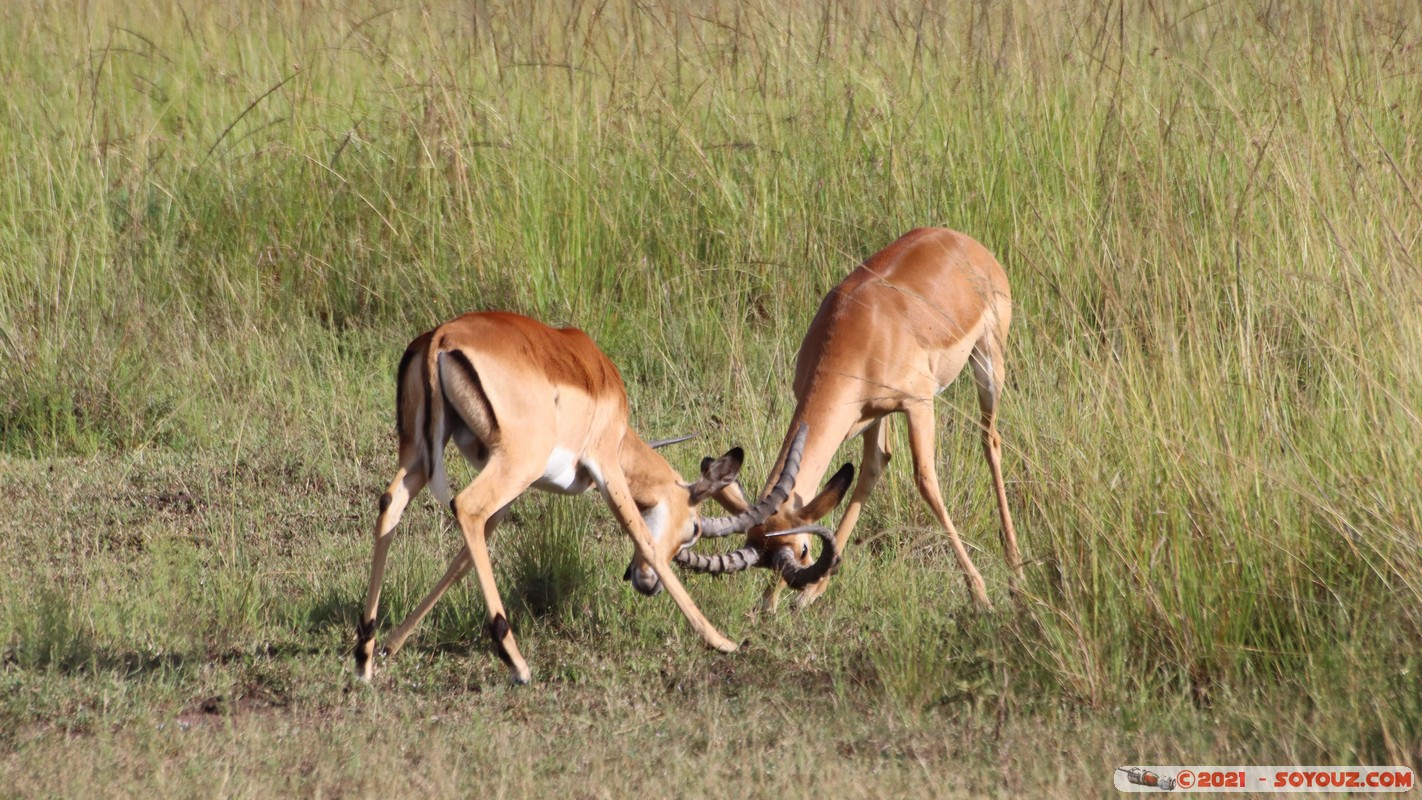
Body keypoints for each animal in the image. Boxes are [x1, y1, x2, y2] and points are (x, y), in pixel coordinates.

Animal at [354, 311, 812, 684]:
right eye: (694, 530)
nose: (646, 585)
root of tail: (441, 336)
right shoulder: (606, 467)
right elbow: (642, 537)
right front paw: (722, 641)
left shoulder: (520, 493)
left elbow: (463, 560)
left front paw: (394, 643)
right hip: (513, 462)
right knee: (465, 507)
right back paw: (516, 662)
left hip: (425, 456)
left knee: (391, 503)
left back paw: (365, 654)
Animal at [677, 228, 1023, 610]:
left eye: (802, 550)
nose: (791, 584)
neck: (862, 330)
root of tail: (962, 240)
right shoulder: (863, 416)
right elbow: (865, 471)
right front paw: (783, 597)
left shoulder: (918, 403)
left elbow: (926, 480)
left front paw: (979, 593)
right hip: (882, 414)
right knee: (879, 463)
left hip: (988, 361)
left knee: (990, 440)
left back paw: (1015, 574)